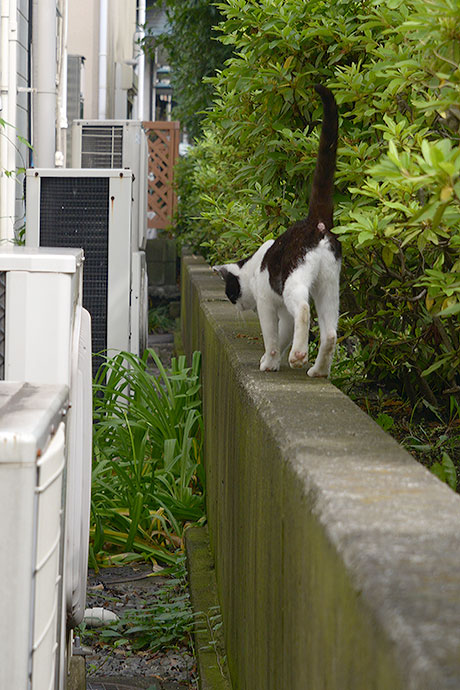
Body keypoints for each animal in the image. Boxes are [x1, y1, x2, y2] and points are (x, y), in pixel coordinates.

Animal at [214, 86, 340, 378]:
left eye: (230, 292)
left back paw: (298, 356)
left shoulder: (269, 305)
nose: (234, 304)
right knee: (330, 333)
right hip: (329, 286)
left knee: (304, 310)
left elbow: (272, 338)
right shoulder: (282, 312)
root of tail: (316, 222)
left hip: (294, 282)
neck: (251, 267)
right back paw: (318, 370)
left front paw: (269, 363)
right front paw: (269, 360)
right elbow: (282, 336)